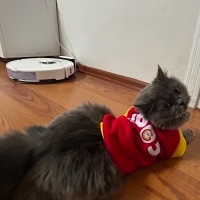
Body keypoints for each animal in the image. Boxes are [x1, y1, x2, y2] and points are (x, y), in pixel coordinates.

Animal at [0, 66, 195, 200]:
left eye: (177, 90)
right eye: (167, 106)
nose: (181, 102)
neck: (145, 117)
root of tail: (44, 142)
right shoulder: (174, 146)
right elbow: (183, 133)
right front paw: (190, 128)